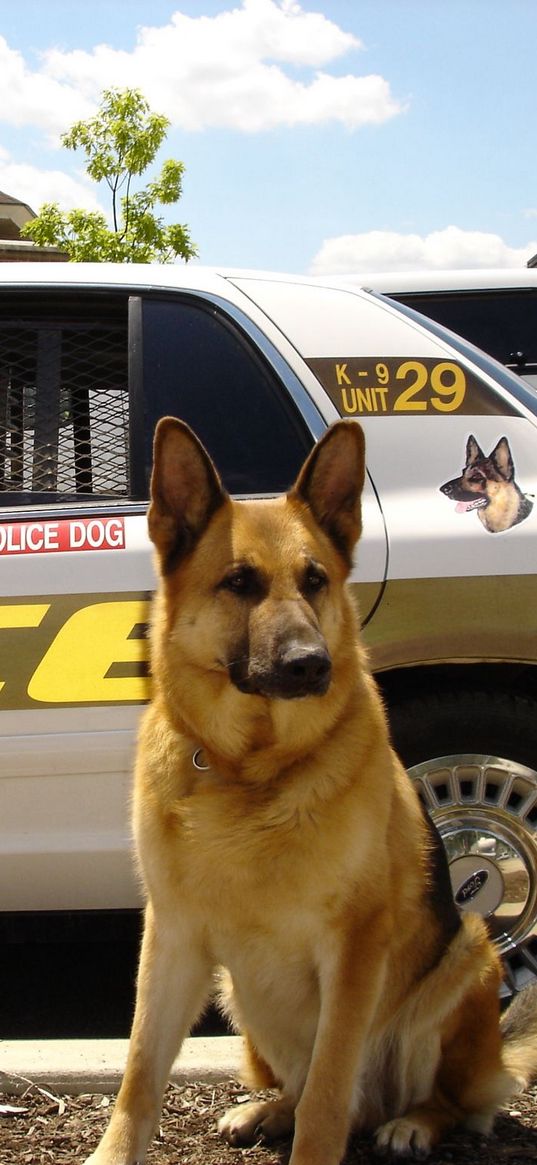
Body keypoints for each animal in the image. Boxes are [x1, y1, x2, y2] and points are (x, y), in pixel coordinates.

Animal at [86, 419, 535, 1165]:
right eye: (239, 582)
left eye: (315, 580)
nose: (310, 664)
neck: (247, 769)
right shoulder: (171, 937)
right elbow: (140, 1070)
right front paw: (112, 1154)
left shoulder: (352, 951)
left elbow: (329, 1092)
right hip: (243, 998)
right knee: (311, 1091)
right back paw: (267, 1110)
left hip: (466, 956)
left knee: (426, 1102)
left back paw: (412, 1122)